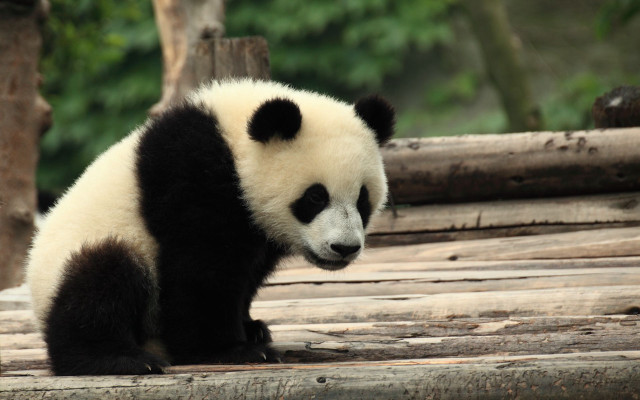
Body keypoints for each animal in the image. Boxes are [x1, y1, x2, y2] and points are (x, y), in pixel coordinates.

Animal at [26, 79, 394, 376]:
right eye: (316, 196)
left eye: (362, 199)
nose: (344, 248)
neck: (234, 142)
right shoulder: (192, 177)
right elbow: (201, 271)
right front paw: (233, 349)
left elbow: (246, 273)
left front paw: (251, 327)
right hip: (91, 252)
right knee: (102, 279)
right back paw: (118, 358)